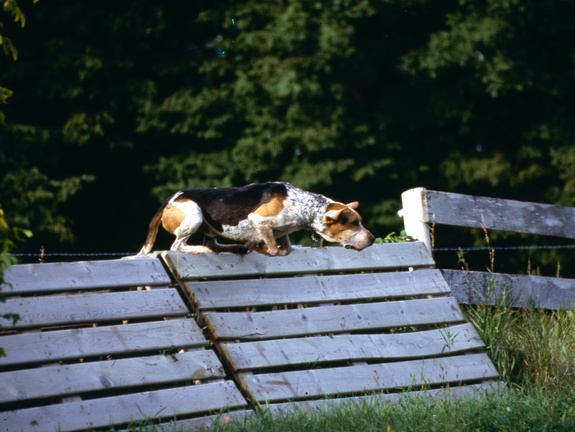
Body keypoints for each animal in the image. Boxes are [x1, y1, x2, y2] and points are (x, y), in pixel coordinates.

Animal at [137, 181, 376, 256]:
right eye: (354, 223)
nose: (373, 239)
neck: (305, 206)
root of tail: (169, 200)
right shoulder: (259, 220)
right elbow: (274, 250)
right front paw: (260, 247)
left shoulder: (282, 232)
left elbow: (286, 249)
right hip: (194, 213)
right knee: (177, 246)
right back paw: (201, 249)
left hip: (209, 227)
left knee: (214, 244)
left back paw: (234, 247)